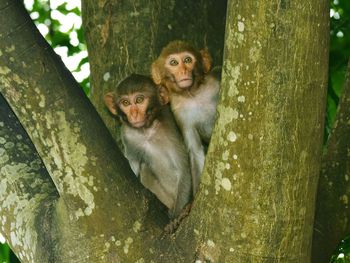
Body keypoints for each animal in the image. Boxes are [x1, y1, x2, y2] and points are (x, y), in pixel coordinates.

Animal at [104, 73, 191, 219]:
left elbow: (184, 168)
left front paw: (176, 217)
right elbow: (133, 165)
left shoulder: (172, 130)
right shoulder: (128, 134)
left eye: (139, 100)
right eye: (125, 103)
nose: (134, 114)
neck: (147, 130)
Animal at [152, 40, 220, 196]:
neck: (192, 94)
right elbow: (195, 151)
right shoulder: (179, 111)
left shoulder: (216, 81)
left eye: (188, 60)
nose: (183, 71)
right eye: (174, 62)